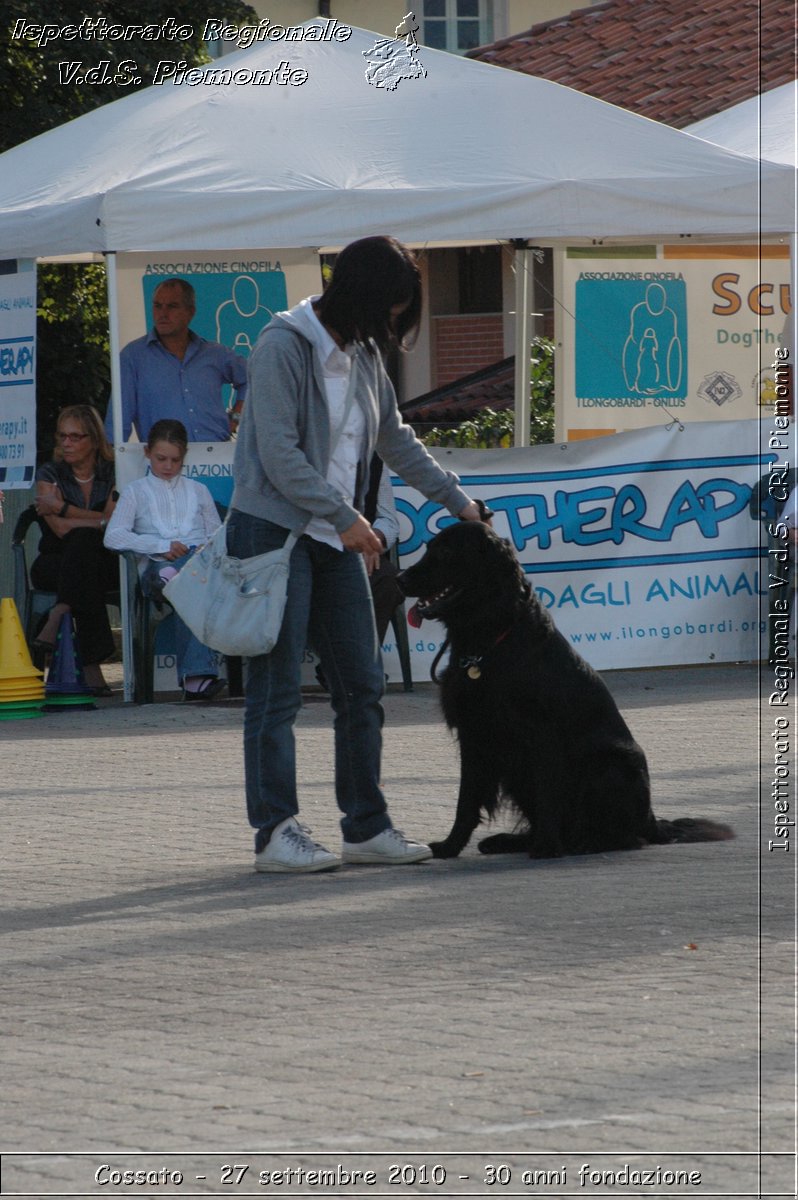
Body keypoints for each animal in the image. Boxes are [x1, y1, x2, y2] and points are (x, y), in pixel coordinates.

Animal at [398, 525, 734, 864]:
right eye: (429, 548)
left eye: (446, 552)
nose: (399, 579)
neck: (488, 641)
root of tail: (653, 821)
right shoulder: (474, 734)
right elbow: (465, 802)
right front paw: (449, 846)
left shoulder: (541, 733)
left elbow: (548, 794)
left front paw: (547, 847)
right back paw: (507, 841)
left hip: (608, 767)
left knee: (627, 837)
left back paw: (584, 843)